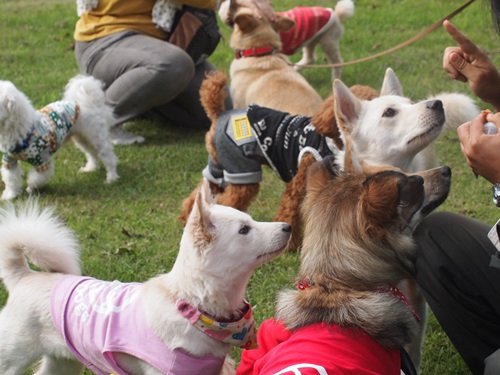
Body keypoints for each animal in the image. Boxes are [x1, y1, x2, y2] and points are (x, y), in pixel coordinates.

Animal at [0, 181, 292, 374]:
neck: (192, 306)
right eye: (244, 230)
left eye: (250, 220)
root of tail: (24, 276)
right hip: (12, 359)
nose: (288, 226)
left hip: (63, 362)